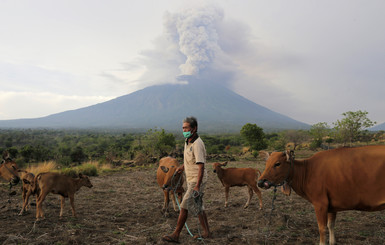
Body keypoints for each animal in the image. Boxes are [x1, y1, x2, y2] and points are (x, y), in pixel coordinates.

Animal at [255, 146, 385, 244]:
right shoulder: (332, 205)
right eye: (266, 163)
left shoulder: (320, 204)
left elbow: (322, 228)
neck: (307, 171)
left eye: (277, 164)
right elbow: (330, 225)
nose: (261, 182)